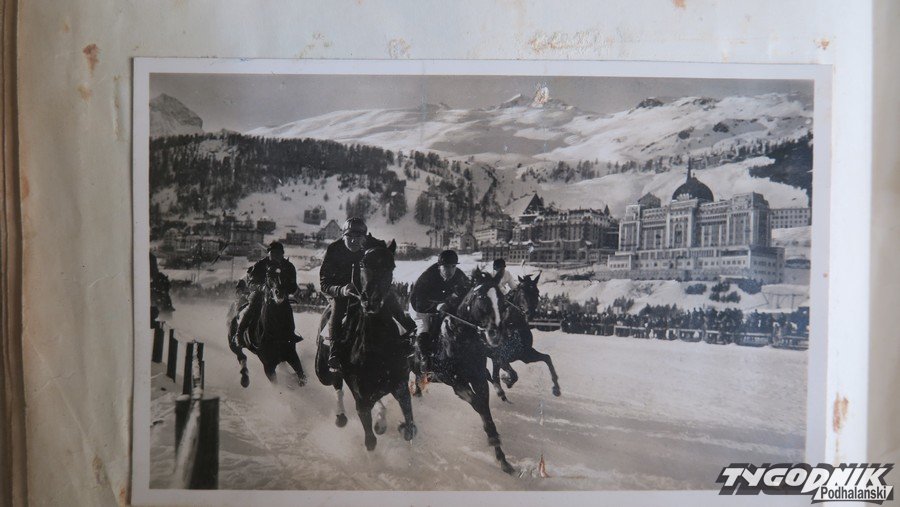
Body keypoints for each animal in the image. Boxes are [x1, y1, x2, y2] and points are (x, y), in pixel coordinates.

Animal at [314, 239, 417, 451]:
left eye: (391, 266)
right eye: (362, 264)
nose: (371, 301)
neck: (377, 346)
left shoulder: (400, 384)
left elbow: (409, 426)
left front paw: (393, 425)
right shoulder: (360, 397)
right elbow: (370, 441)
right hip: (324, 371)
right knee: (336, 384)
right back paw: (341, 416)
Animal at [428, 268, 516, 474]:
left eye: (502, 301)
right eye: (482, 298)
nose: (495, 334)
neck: (460, 339)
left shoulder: (478, 378)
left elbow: (485, 407)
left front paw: (502, 458)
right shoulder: (454, 381)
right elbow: (479, 405)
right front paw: (493, 439)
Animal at [488, 273, 562, 402]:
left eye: (536, 292)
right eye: (522, 292)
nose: (529, 313)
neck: (513, 327)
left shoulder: (525, 355)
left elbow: (547, 358)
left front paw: (556, 389)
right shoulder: (501, 358)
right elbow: (513, 375)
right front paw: (506, 379)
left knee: (494, 376)